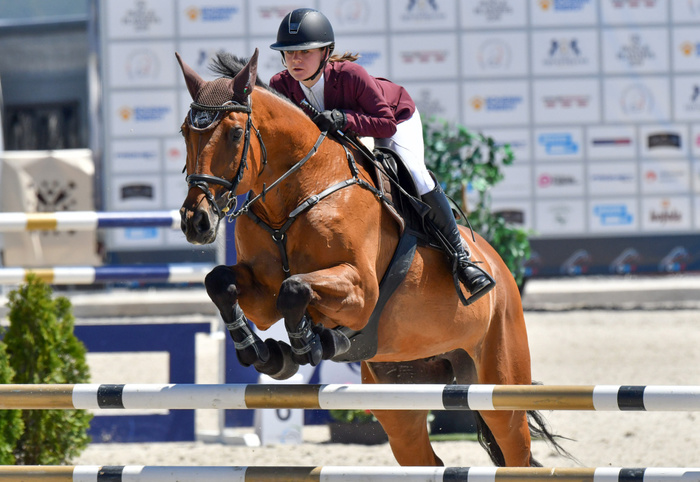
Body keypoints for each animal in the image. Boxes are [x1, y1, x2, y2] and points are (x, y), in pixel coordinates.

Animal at [176, 49, 566, 467]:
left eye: (235, 133)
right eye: (185, 132)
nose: (196, 222)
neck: (298, 194)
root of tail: (500, 268)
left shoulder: (361, 289)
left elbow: (295, 288)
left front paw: (308, 345)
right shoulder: (262, 293)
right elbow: (221, 282)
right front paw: (263, 351)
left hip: (500, 383)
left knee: (515, 450)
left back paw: (469, 275)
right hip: (399, 391)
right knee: (425, 458)